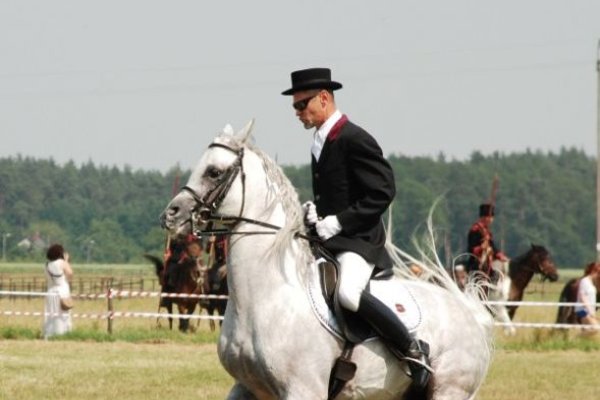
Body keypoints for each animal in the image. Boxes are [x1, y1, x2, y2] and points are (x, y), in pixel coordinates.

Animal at [159, 122, 492, 400]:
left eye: (214, 171)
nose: (170, 215)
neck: (268, 296)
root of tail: (469, 313)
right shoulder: (246, 387)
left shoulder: (303, 390)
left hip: (450, 391)